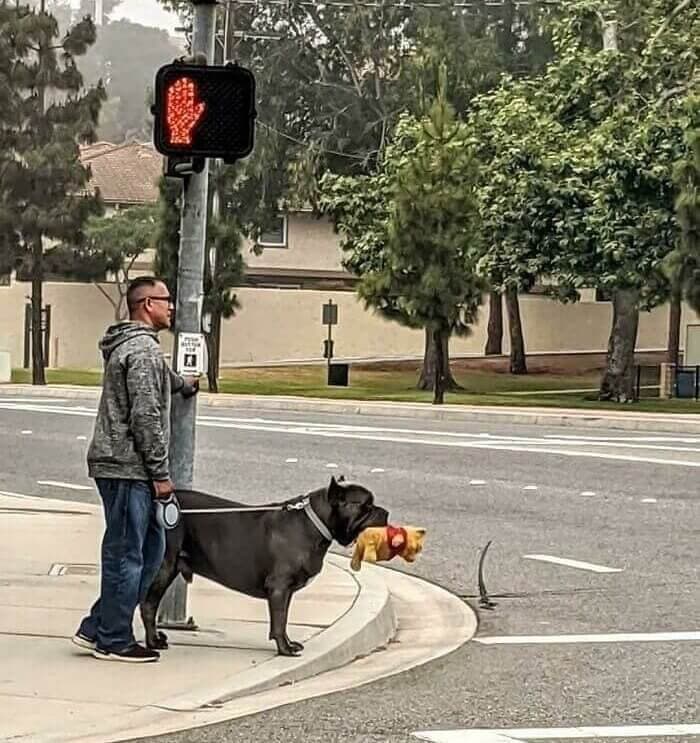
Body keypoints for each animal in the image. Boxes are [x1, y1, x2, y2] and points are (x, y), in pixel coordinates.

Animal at [141, 476, 388, 656]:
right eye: (366, 505)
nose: (385, 512)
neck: (314, 523)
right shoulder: (279, 587)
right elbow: (278, 620)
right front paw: (285, 649)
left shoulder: (286, 592)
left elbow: (284, 619)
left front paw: (288, 643)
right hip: (164, 567)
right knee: (148, 605)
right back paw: (153, 641)